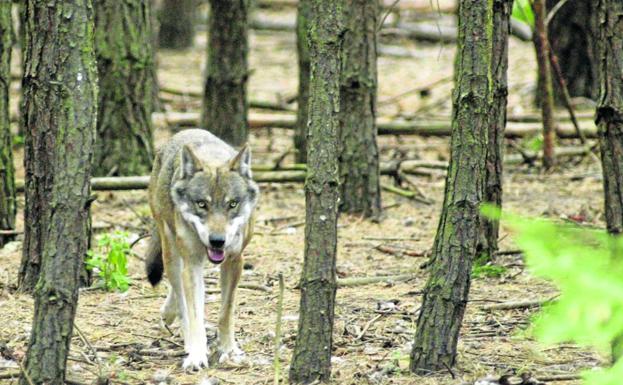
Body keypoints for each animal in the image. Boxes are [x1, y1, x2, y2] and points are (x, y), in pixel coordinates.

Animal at [145, 129, 260, 368]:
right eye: (201, 204)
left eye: (232, 204)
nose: (217, 241)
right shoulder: (193, 264)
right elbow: (195, 314)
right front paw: (197, 355)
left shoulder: (235, 261)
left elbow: (226, 312)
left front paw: (229, 349)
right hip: (171, 252)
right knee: (181, 299)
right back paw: (185, 338)